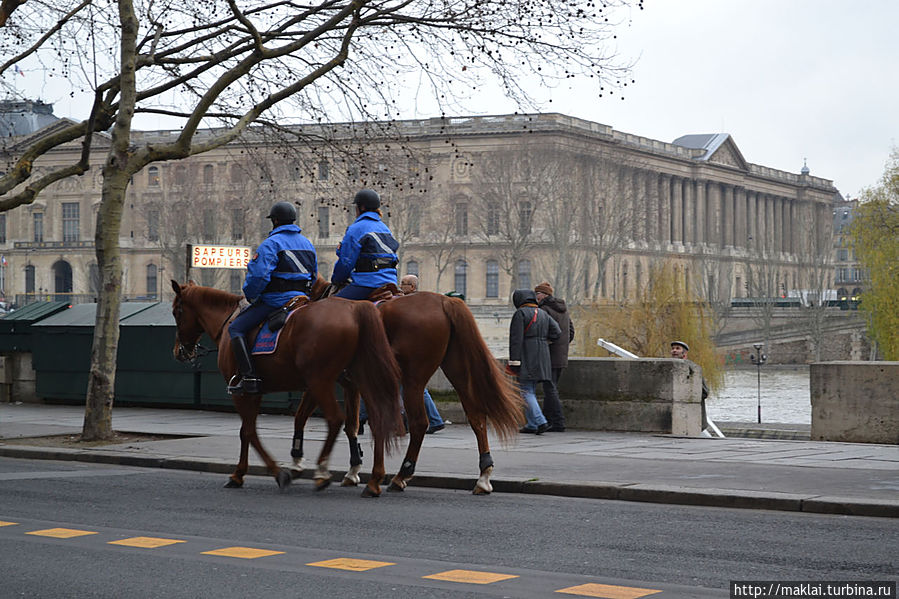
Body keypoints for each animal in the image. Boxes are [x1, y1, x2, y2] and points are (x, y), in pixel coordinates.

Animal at [171, 282, 402, 496]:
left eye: (176, 312)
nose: (179, 351)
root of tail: (354, 309)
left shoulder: (243, 393)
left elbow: (249, 431)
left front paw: (270, 472)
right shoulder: (262, 391)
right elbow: (259, 428)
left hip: (321, 380)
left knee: (336, 419)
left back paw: (324, 472)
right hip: (358, 379)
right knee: (376, 420)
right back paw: (376, 479)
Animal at [290, 274, 520, 494]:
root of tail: (445, 301)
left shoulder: (320, 380)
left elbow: (302, 417)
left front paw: (300, 462)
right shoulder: (349, 385)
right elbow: (351, 426)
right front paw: (353, 469)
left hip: (413, 379)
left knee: (419, 423)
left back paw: (402, 474)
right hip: (458, 371)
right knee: (476, 417)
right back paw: (483, 476)